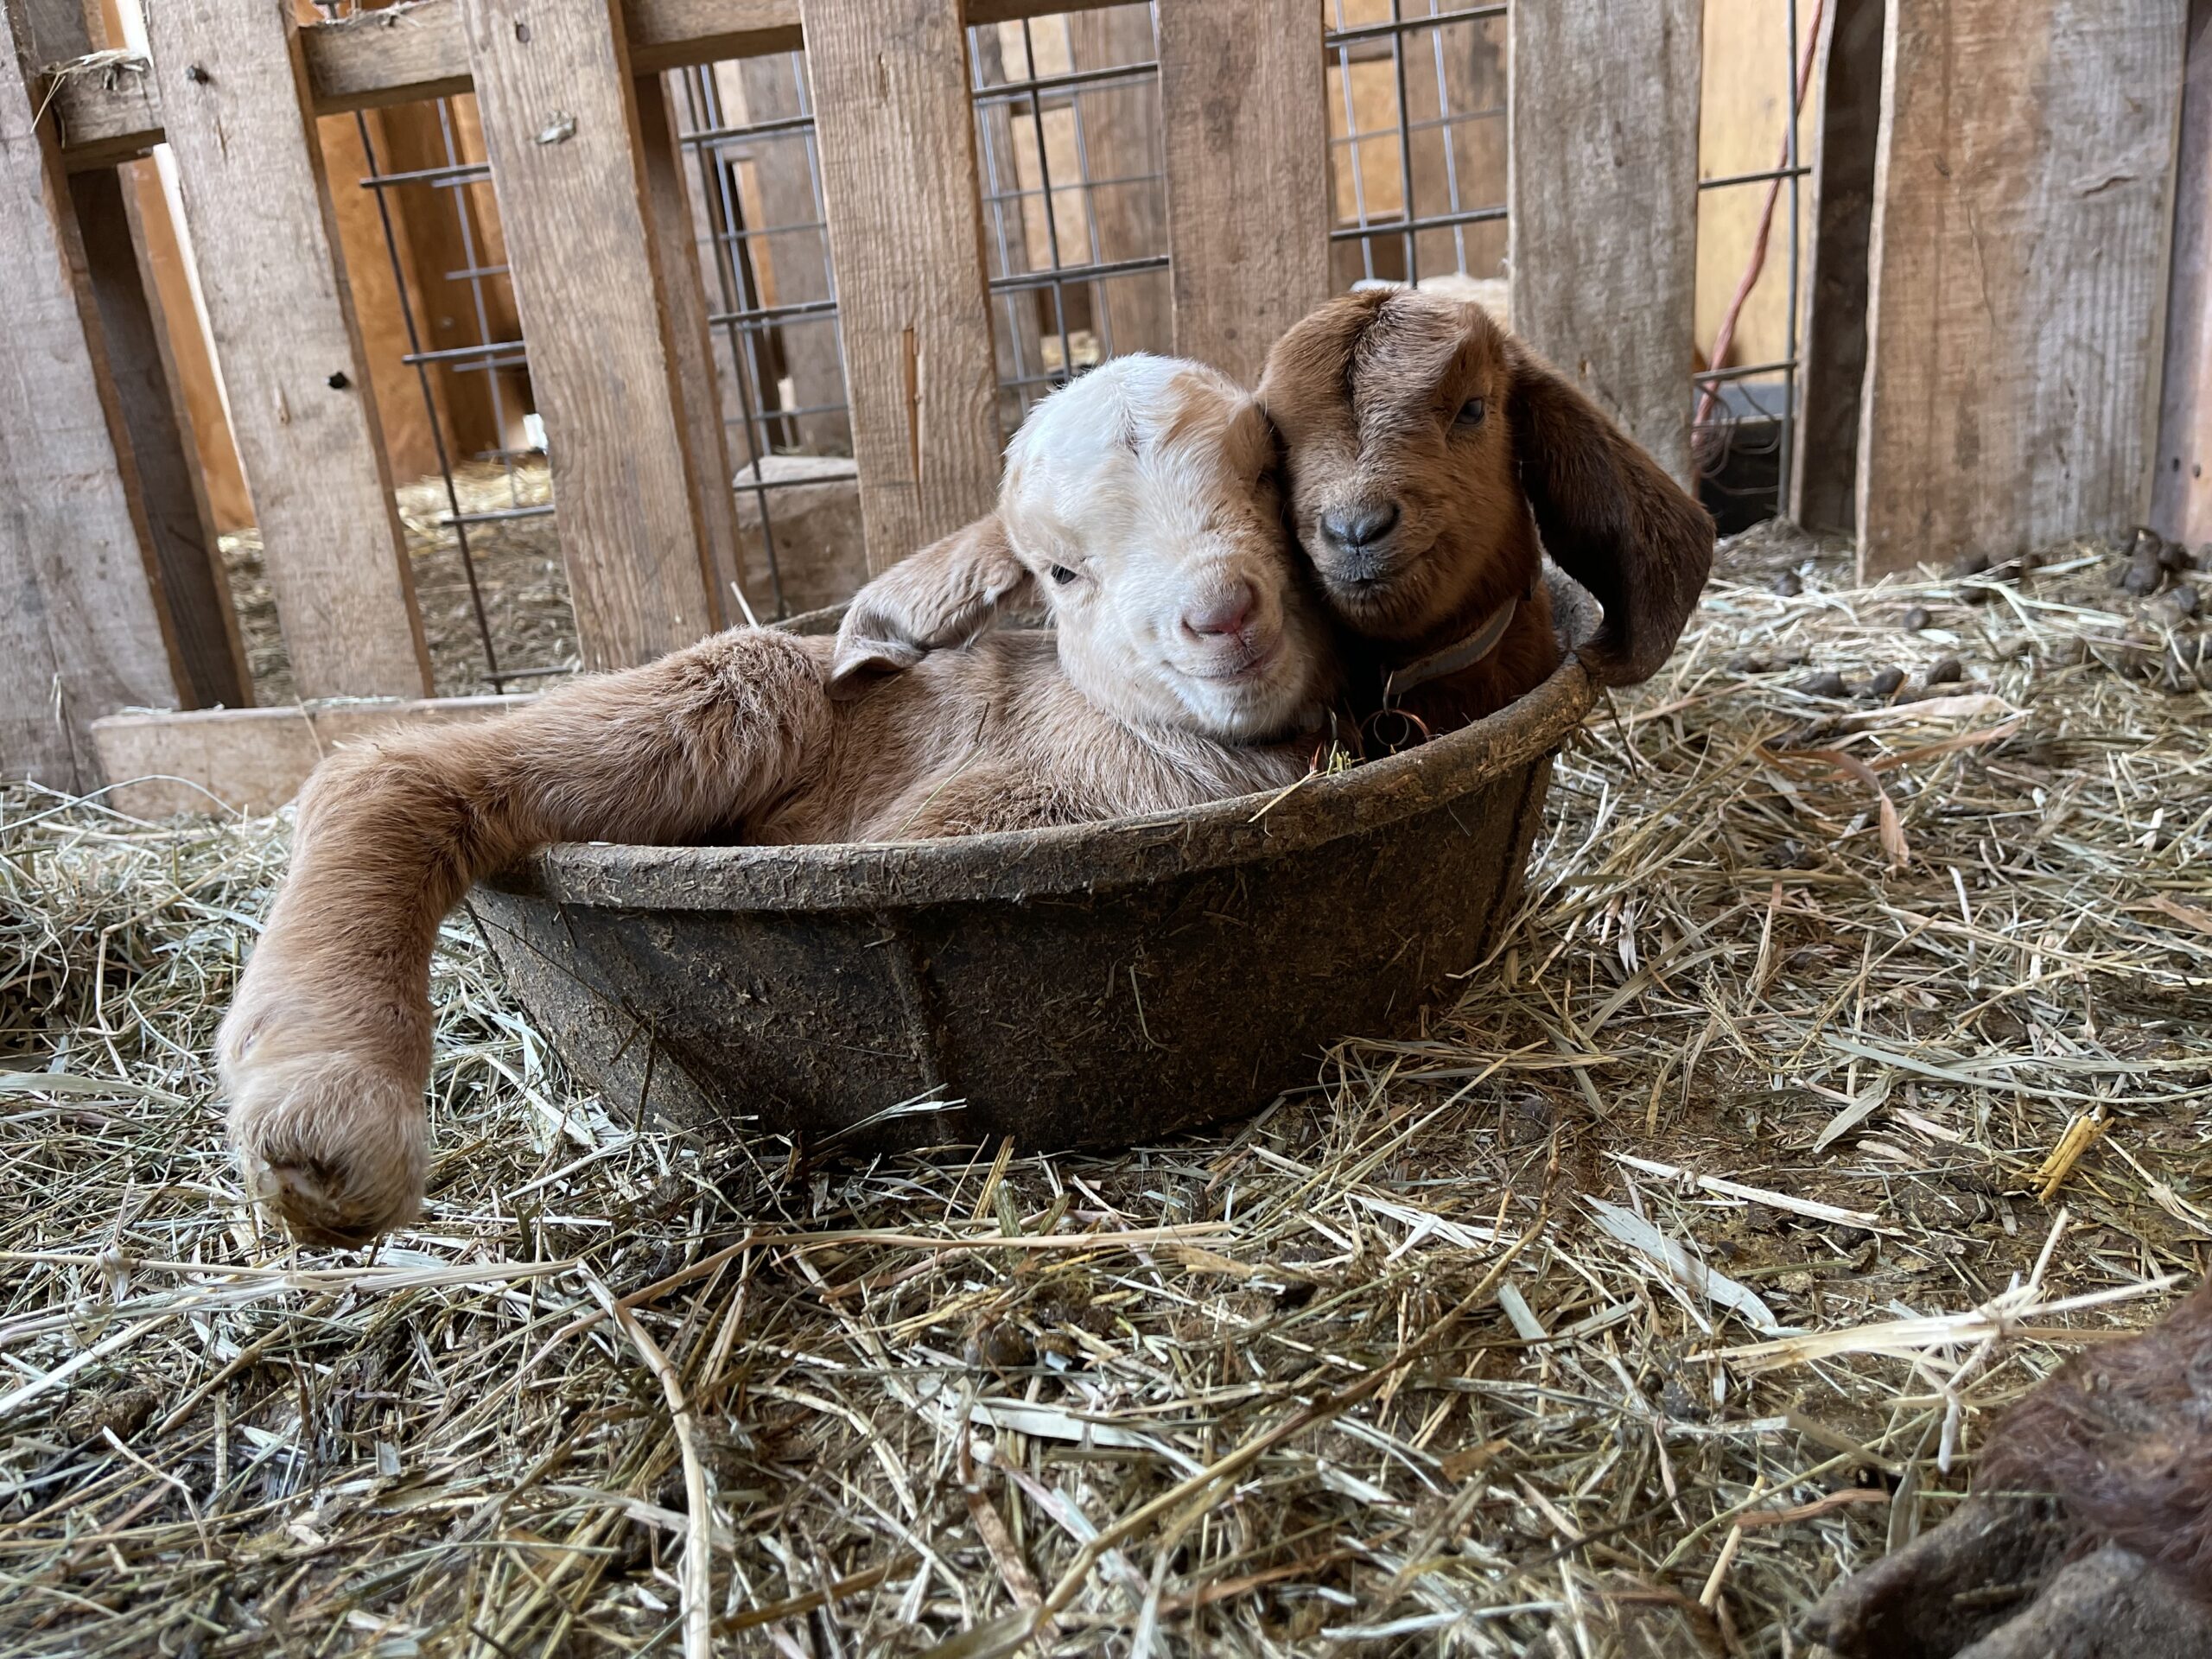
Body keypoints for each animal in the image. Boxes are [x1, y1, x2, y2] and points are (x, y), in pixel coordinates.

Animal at [219, 355, 1335, 1246]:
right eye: (1062, 573)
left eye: (1263, 476)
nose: (1222, 614)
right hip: (741, 693)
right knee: (385, 771)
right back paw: (330, 1099)